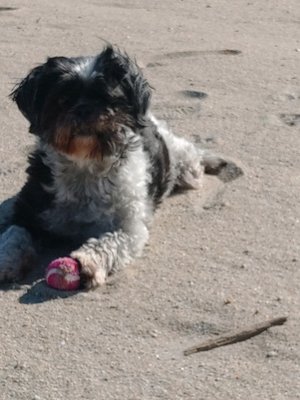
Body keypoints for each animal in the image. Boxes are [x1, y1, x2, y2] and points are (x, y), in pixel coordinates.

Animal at [0, 45, 243, 290]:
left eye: (107, 97)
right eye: (63, 98)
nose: (84, 108)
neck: (85, 164)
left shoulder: (129, 226)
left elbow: (110, 242)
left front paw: (88, 261)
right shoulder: (31, 210)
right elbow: (15, 235)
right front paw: (7, 259)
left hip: (186, 166)